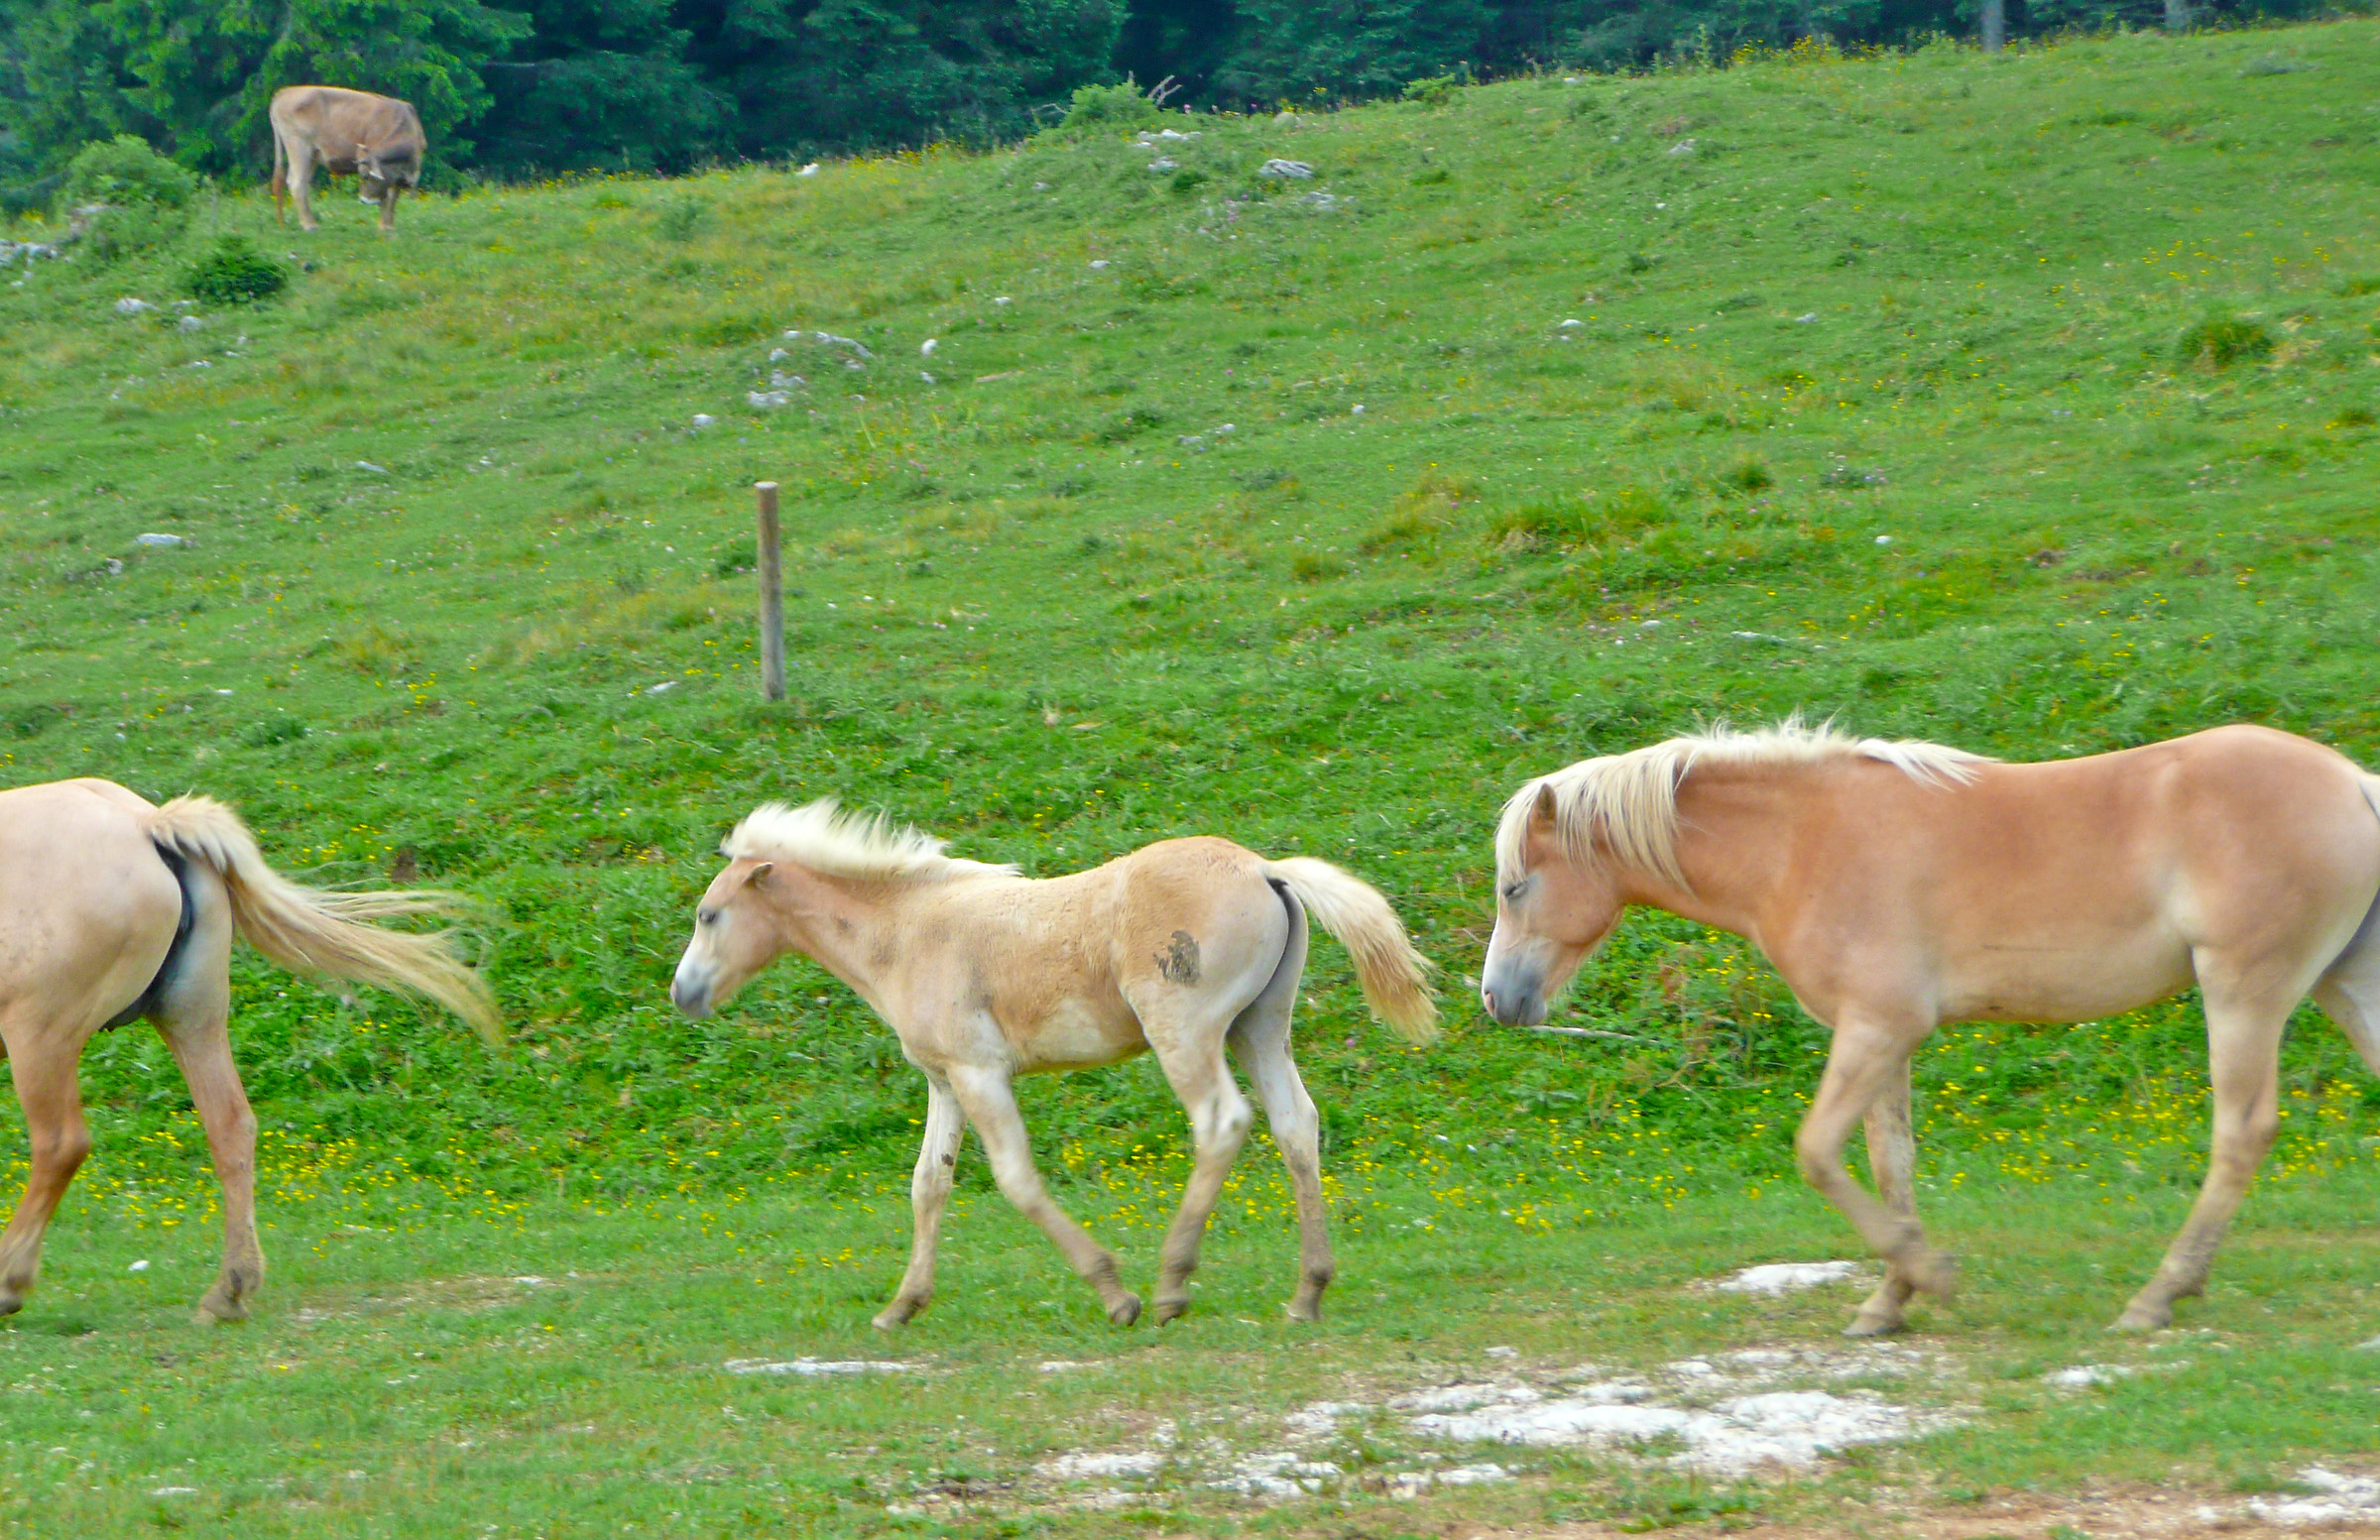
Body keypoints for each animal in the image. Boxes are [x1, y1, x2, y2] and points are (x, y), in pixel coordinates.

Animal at [0, 779, 497, 1322]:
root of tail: (145, 825)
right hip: (192, 1019)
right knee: (231, 1125)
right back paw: (231, 1287)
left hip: (41, 1036)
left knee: (61, 1143)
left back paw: (11, 1278)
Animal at [670, 801, 1438, 1328]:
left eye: (709, 916)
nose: (683, 993)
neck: (907, 931)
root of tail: (1263, 868)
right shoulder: (944, 1080)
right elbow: (928, 1184)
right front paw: (901, 1306)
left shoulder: (980, 1074)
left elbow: (1015, 1178)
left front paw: (1114, 1292)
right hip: (1261, 1027)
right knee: (1296, 1125)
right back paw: (1308, 1292)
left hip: (1185, 1034)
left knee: (1222, 1123)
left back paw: (1170, 1286)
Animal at [1480, 721, 2380, 1336]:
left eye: (1516, 887)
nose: (1497, 999)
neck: (1801, 843)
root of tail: (2355, 782)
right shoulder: (1884, 1038)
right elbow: (1891, 1163)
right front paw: (1890, 1299)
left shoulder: (1878, 1026)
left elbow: (1818, 1152)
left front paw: (1929, 1275)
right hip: (2342, 984)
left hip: (2244, 992)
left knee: (2241, 1132)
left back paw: (2159, 1294)